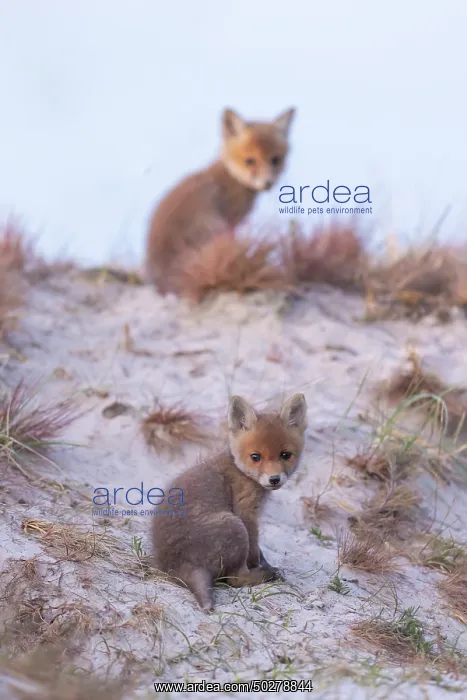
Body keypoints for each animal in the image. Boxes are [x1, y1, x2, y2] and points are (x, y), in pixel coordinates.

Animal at [145, 106, 296, 293]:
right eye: (250, 161)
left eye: (275, 160)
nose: (268, 183)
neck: (232, 178)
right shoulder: (230, 222)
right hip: (214, 227)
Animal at [152, 392, 307, 611]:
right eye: (255, 457)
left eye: (285, 455)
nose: (274, 479)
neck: (239, 469)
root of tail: (177, 564)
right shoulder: (246, 512)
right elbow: (254, 548)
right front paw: (261, 566)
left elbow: (260, 551)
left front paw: (265, 563)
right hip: (234, 525)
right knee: (235, 579)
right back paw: (267, 575)